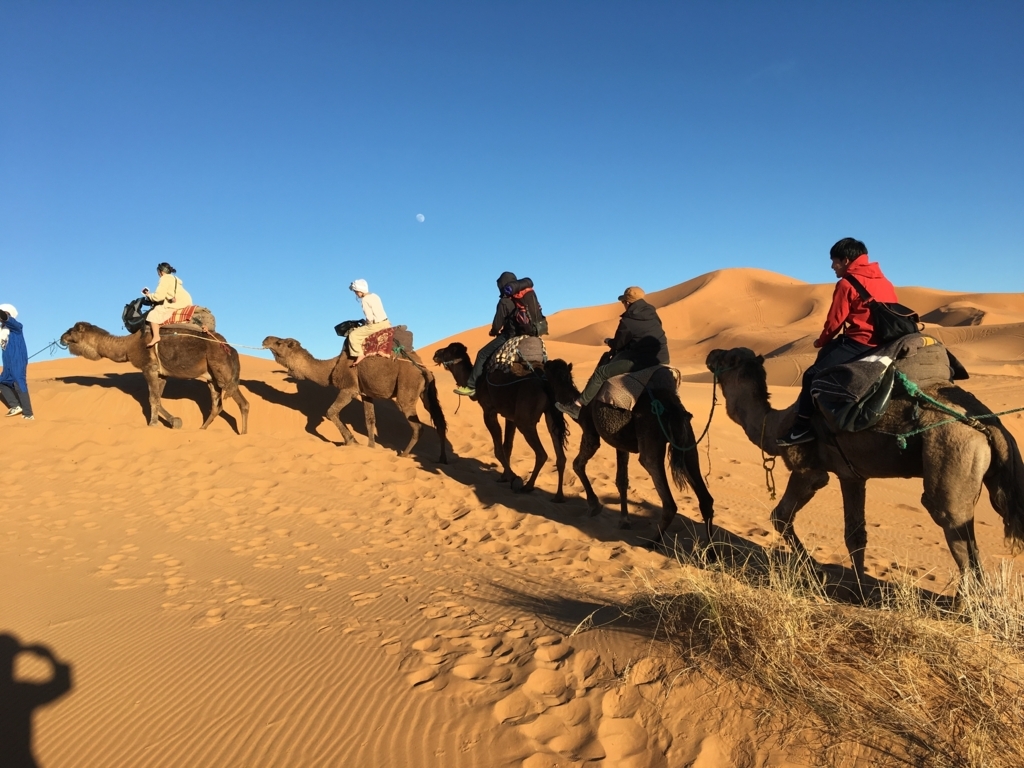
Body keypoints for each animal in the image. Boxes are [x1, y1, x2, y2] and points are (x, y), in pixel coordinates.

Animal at [60, 321, 250, 436]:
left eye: (73, 330)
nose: (62, 337)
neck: (128, 345)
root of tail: (231, 348)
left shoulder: (148, 367)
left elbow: (152, 398)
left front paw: (153, 425)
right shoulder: (161, 373)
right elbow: (157, 398)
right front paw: (175, 421)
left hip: (222, 370)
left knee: (243, 403)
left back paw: (243, 434)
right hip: (212, 378)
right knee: (217, 405)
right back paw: (201, 429)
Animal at [262, 335, 446, 462]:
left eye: (279, 343)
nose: (265, 339)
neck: (331, 367)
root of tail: (423, 369)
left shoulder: (349, 388)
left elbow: (330, 412)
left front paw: (352, 441)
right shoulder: (366, 393)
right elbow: (370, 420)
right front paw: (371, 447)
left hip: (406, 390)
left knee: (417, 426)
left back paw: (404, 454)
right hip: (426, 393)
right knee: (439, 421)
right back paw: (442, 459)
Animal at [432, 342, 569, 499]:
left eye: (448, 351)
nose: (436, 353)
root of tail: (544, 381)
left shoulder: (489, 411)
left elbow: (498, 449)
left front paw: (514, 479)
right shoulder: (510, 416)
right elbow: (507, 446)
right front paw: (504, 477)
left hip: (525, 420)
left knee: (542, 454)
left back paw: (528, 486)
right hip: (551, 413)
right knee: (560, 454)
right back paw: (558, 496)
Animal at [548, 358, 716, 544]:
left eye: (548, 372)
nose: (545, 364)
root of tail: (673, 408)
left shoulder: (590, 431)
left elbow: (577, 464)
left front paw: (594, 505)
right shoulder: (621, 444)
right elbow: (622, 480)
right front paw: (624, 520)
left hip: (650, 438)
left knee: (668, 500)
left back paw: (651, 542)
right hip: (688, 442)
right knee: (705, 498)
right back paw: (710, 549)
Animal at [708, 346, 1024, 593]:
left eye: (729, 356)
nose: (710, 354)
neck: (773, 426)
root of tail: (989, 425)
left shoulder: (808, 470)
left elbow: (781, 516)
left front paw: (819, 573)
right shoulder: (852, 475)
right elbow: (855, 534)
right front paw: (859, 590)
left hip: (952, 455)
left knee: (952, 523)